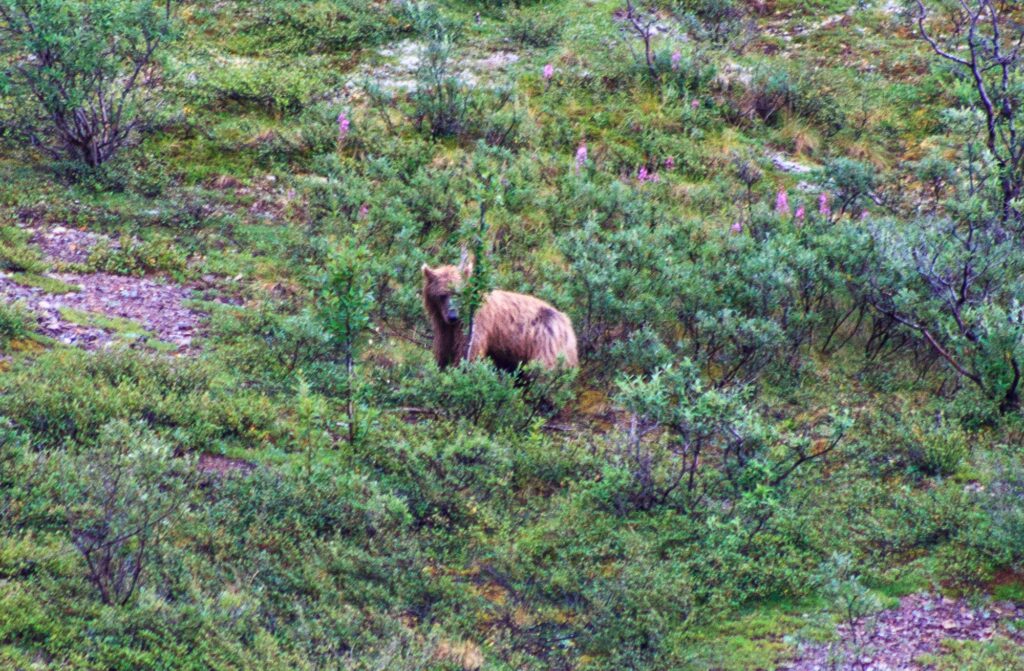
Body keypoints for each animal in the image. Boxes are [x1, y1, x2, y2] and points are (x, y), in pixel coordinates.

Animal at [421, 256, 578, 372]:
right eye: (442, 295)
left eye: (459, 293)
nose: (453, 316)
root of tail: (568, 324)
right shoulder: (443, 326)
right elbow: (443, 349)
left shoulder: (476, 325)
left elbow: (469, 351)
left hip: (546, 342)